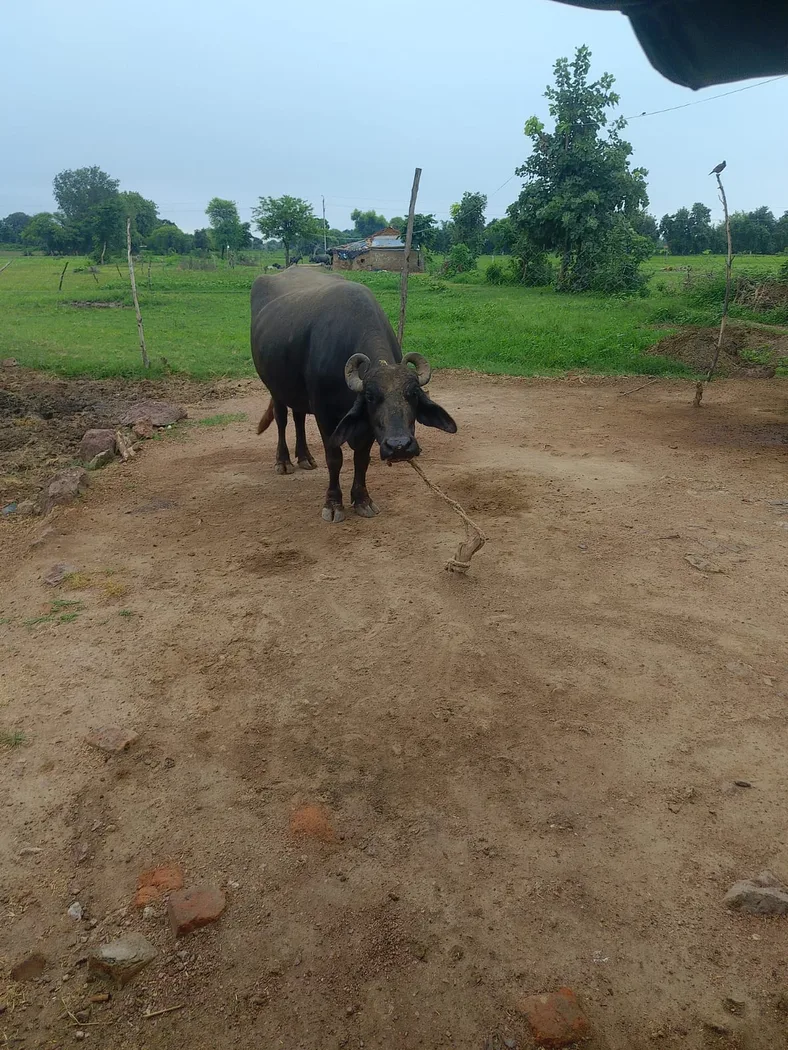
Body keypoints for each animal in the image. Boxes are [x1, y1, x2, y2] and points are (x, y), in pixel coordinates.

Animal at [250, 267, 457, 522]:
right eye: (370, 397)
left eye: (414, 394)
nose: (399, 446)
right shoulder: (325, 414)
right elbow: (334, 458)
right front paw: (333, 504)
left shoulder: (367, 425)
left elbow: (361, 459)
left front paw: (362, 500)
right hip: (275, 387)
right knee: (282, 419)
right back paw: (284, 461)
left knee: (298, 417)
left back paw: (305, 457)